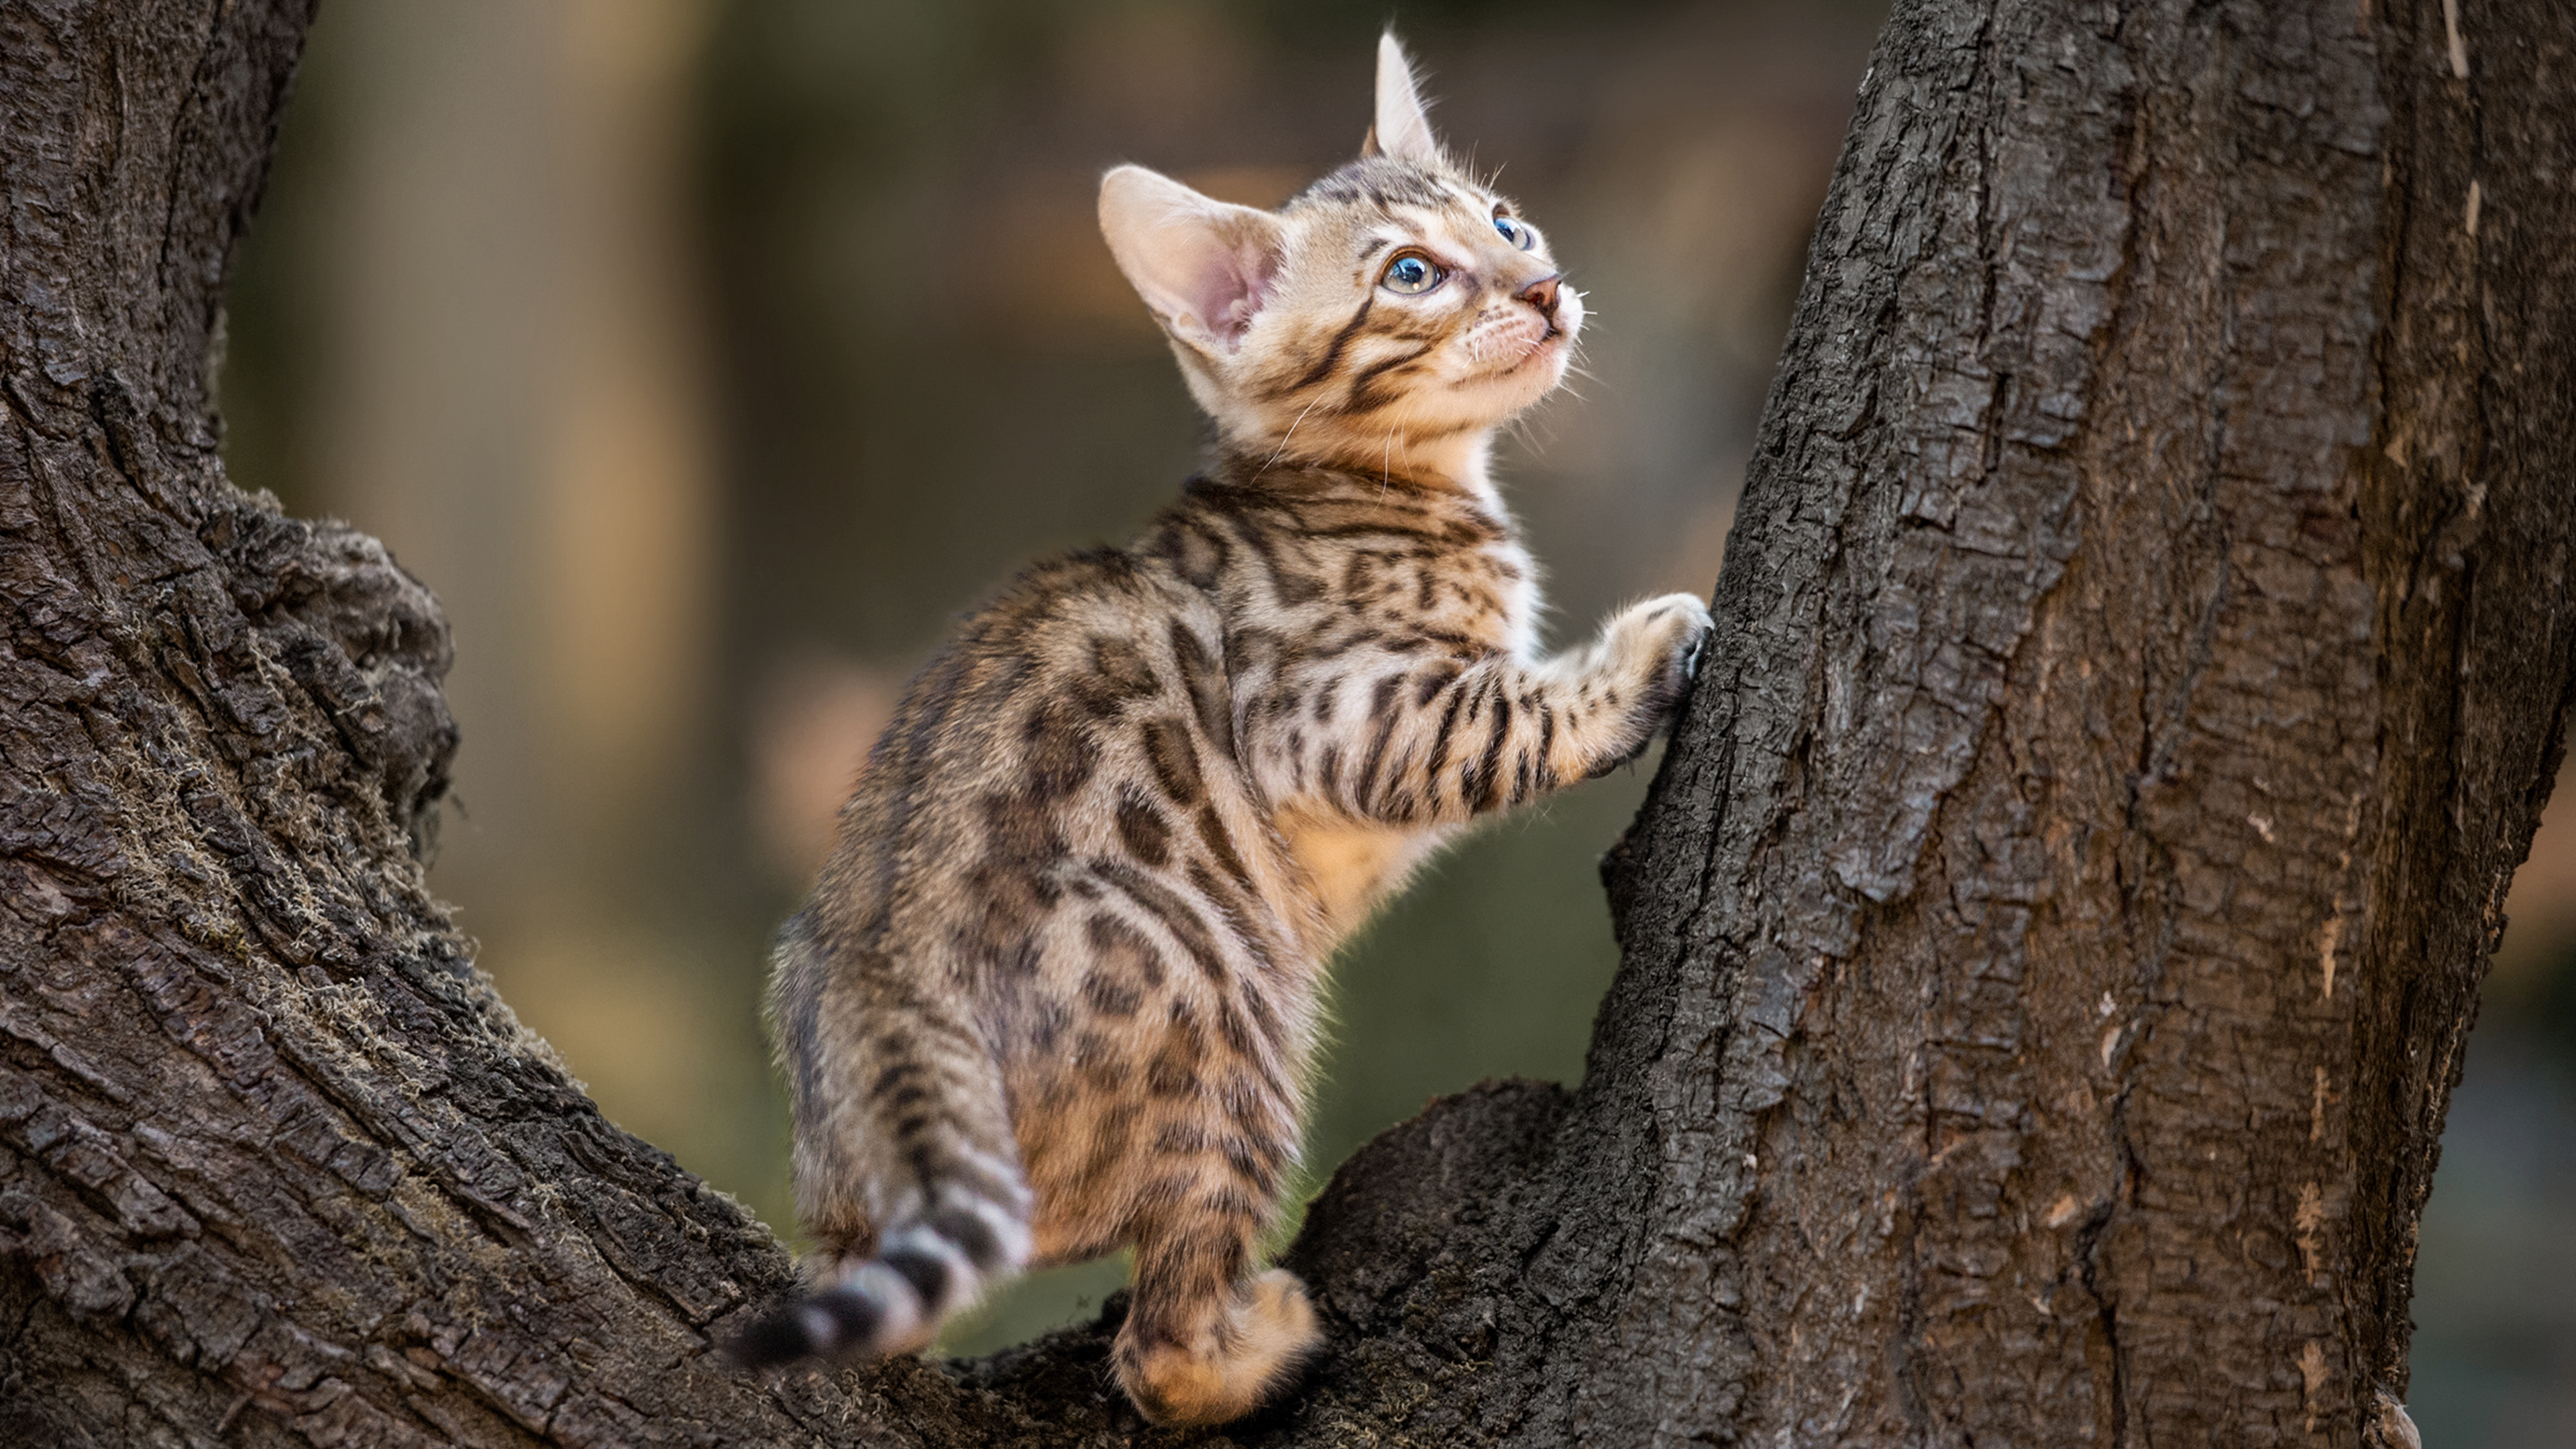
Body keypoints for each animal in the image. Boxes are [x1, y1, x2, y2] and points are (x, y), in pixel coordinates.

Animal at [731, 31, 1710, 1423]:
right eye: (1413, 274)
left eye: (1509, 221)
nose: (1544, 288)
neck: (1374, 484)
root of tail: (885, 988)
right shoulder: (1341, 711)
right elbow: (1504, 713)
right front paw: (1642, 652)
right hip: (1232, 1036)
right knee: (1160, 1347)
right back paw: (1267, 1340)